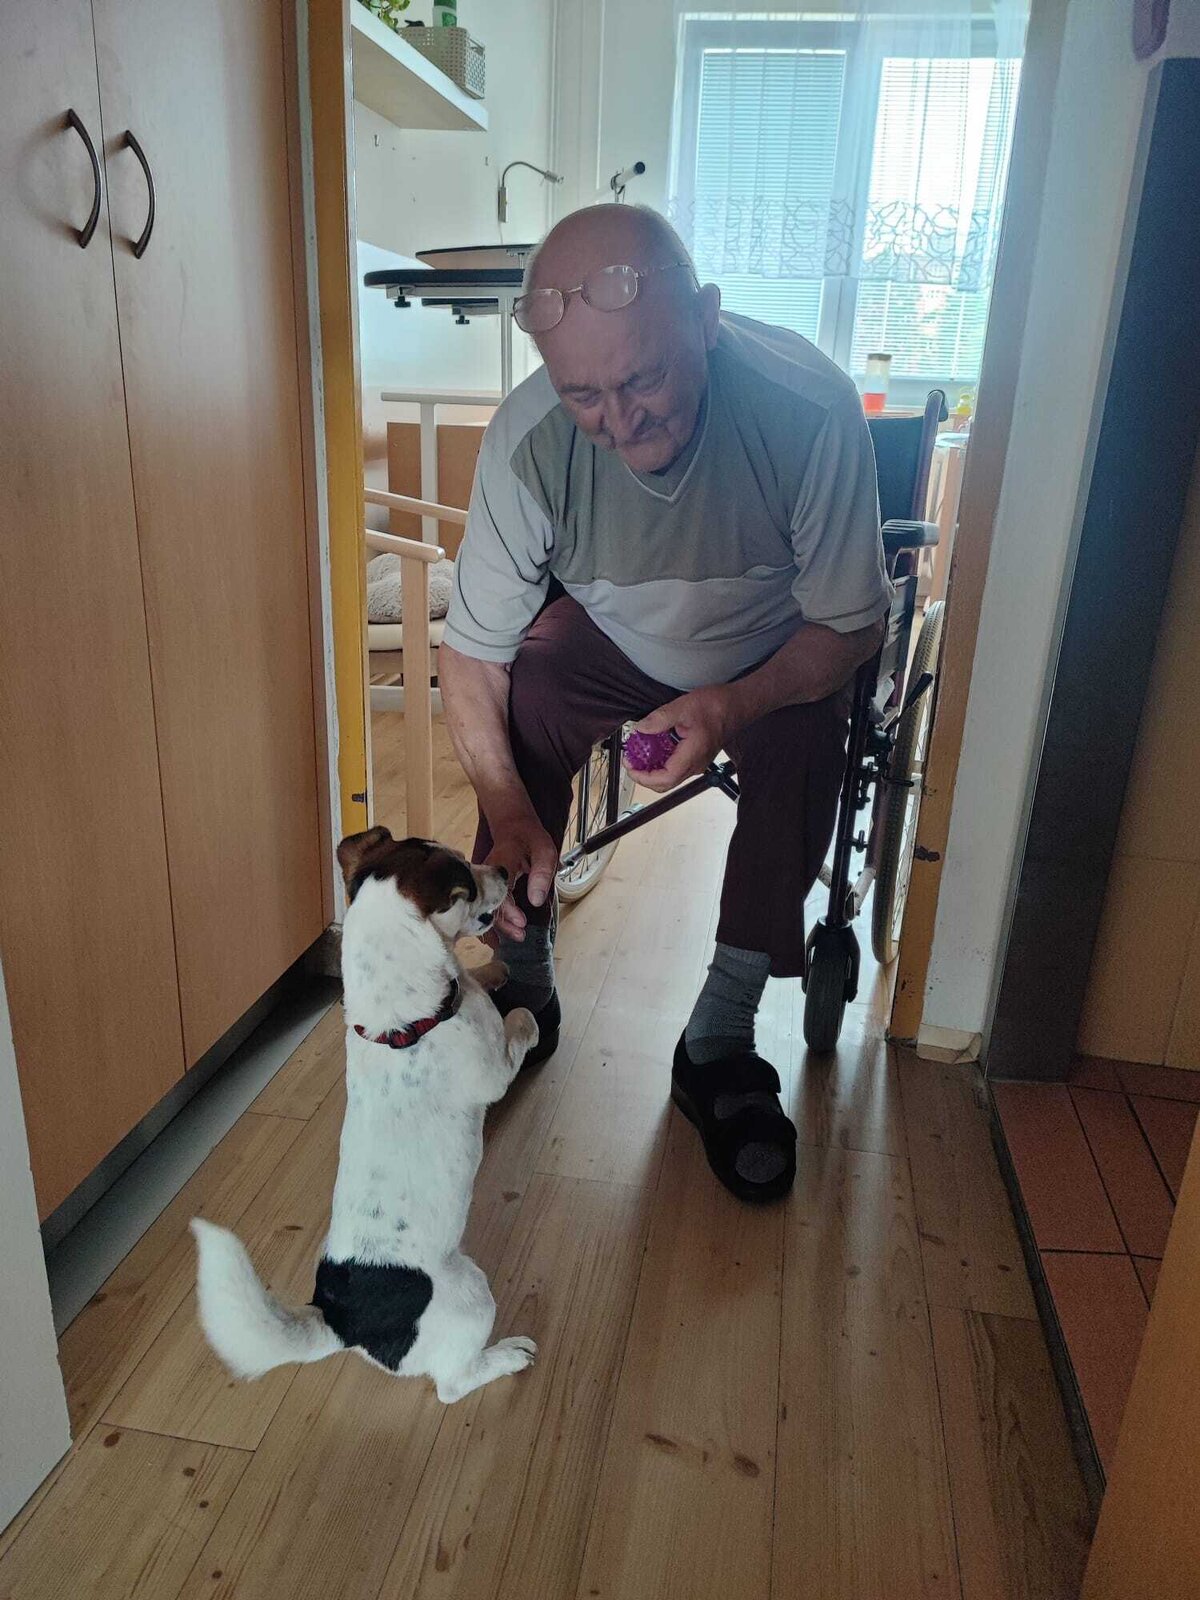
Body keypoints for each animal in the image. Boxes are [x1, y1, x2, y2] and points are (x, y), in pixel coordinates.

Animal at [191, 827, 540, 1404]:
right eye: (465, 885)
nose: (506, 871)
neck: (400, 1020)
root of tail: (340, 1320)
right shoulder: (492, 1072)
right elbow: (517, 1020)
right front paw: (523, 1015)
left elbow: (476, 978)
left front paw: (492, 970)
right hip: (470, 1292)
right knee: (453, 1383)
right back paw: (507, 1356)